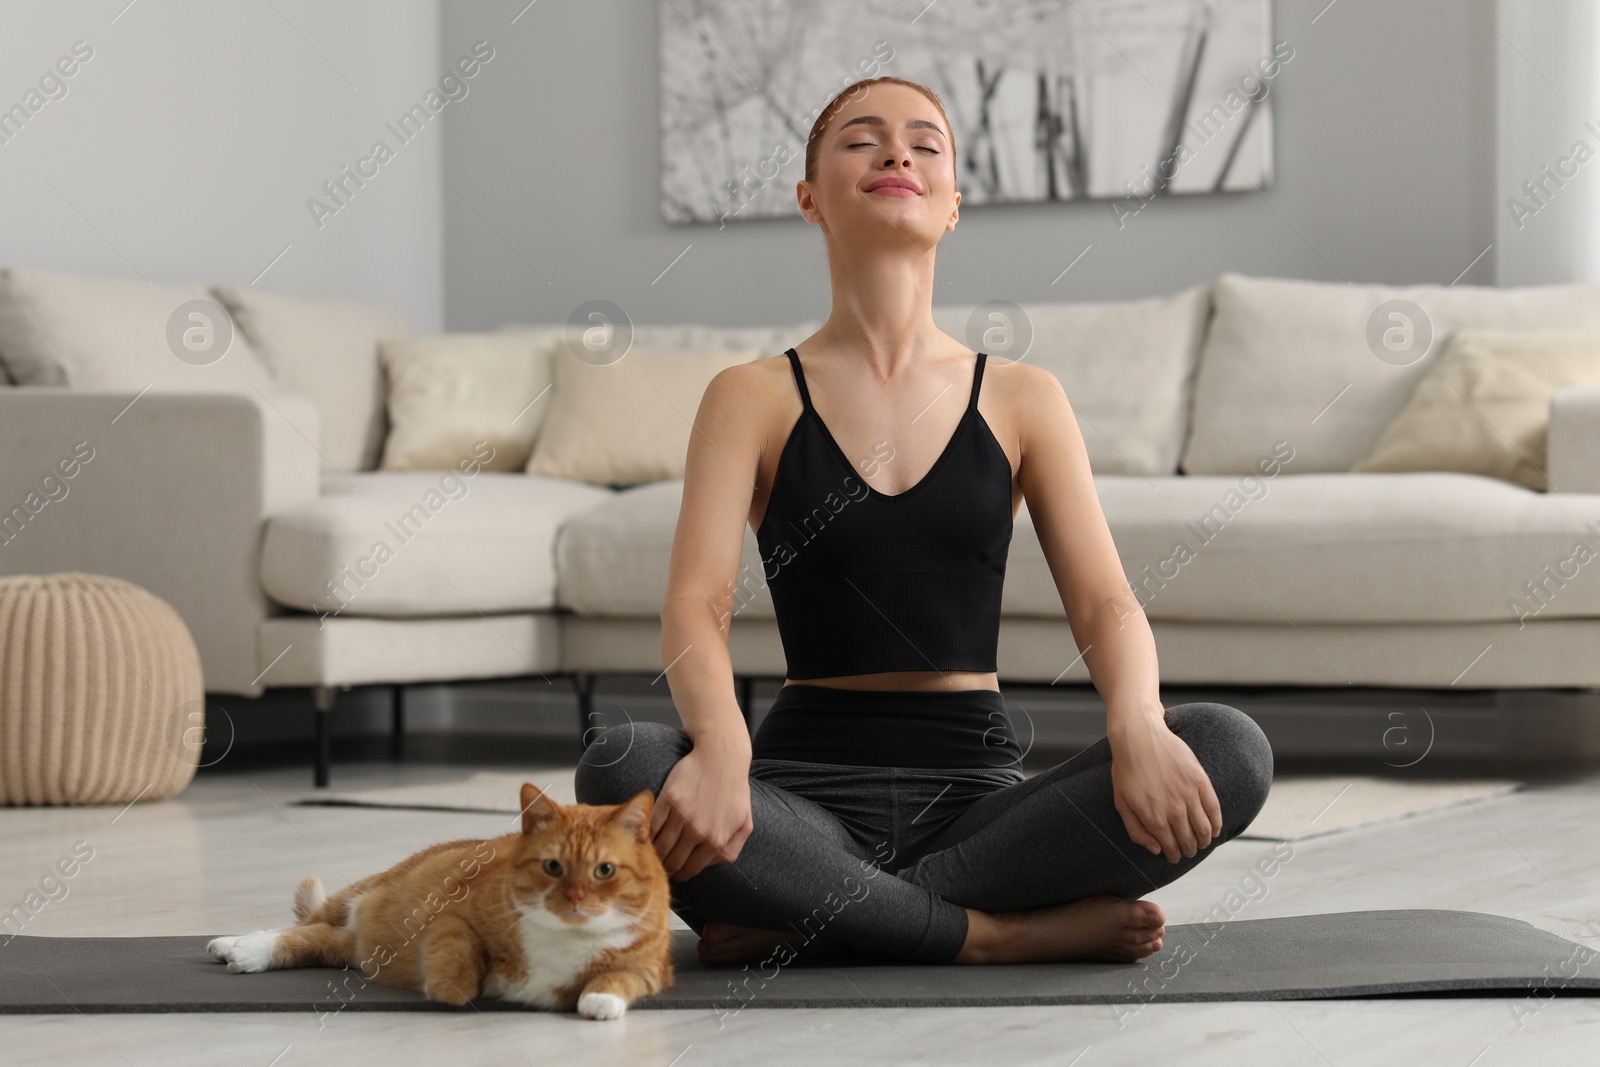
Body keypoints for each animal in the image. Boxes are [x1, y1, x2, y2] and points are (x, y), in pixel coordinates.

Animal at [204, 783, 668, 1017]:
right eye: (552, 866)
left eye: (604, 871)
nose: (574, 898)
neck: (568, 938)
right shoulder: (449, 910)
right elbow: (457, 963)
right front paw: (455, 981)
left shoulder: (650, 970)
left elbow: (622, 979)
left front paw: (601, 998)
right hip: (356, 896)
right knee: (300, 924)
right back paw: (234, 944)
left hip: (352, 948)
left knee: (314, 940)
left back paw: (244, 952)